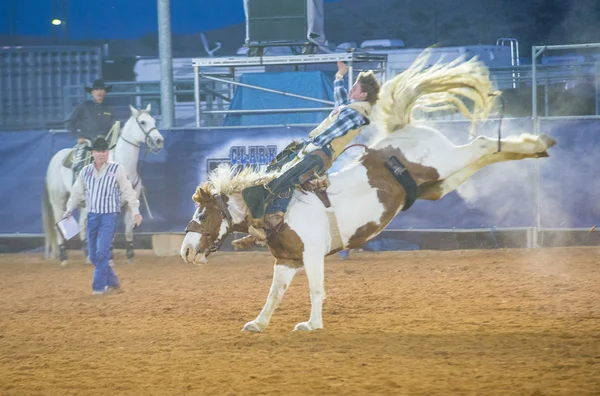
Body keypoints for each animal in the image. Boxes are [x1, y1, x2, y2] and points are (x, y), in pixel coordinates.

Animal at [42, 104, 164, 266]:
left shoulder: (129, 205)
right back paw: (63, 257)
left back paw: (87, 254)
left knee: (81, 224)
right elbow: (110, 233)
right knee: (58, 225)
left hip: (84, 203)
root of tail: (54, 159)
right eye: (143, 122)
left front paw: (130, 257)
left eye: (154, 121)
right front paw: (110, 257)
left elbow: (128, 231)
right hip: (58, 201)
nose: (159, 141)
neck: (123, 166)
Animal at [178, 52, 556, 332]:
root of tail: (401, 132)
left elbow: (316, 289)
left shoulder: (312, 256)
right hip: (438, 184)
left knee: (480, 143)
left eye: (202, 213)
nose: (184, 251)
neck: (275, 206)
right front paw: (258, 323)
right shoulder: (287, 260)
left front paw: (312, 325)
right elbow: (274, 294)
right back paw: (536, 147)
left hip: (443, 163)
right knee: (483, 156)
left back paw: (537, 141)